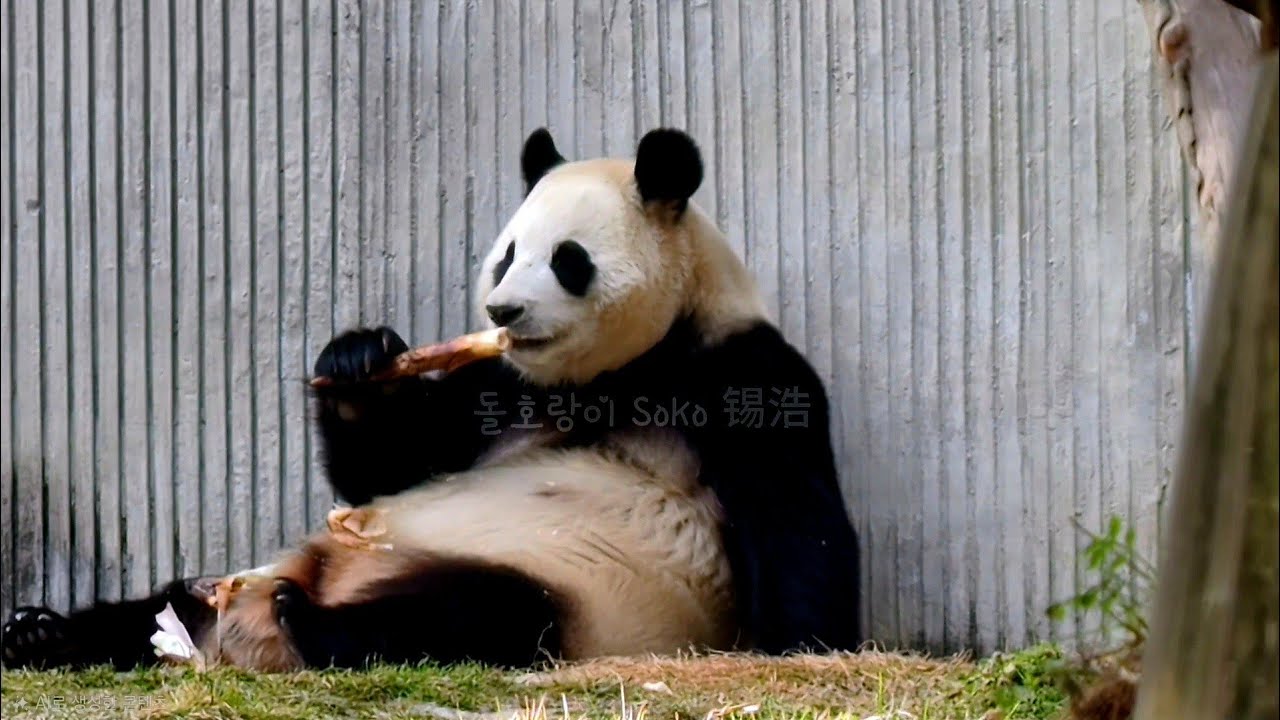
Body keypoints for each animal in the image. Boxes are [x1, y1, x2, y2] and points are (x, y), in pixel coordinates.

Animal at [2, 127, 861, 671]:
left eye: (568, 259)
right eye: (507, 254)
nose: (502, 312)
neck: (618, 370)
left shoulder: (741, 375)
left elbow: (798, 526)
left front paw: (799, 645)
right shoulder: (506, 386)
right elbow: (397, 461)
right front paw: (357, 361)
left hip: (578, 587)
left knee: (472, 613)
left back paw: (308, 624)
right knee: (159, 604)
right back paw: (45, 637)